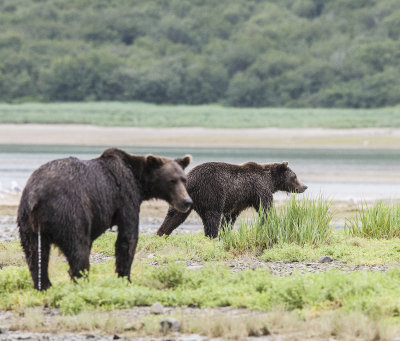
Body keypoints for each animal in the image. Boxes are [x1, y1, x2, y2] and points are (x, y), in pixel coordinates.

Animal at [18, 147, 192, 288]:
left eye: (184, 179)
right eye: (172, 180)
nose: (187, 201)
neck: (139, 182)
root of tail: (36, 196)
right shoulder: (126, 196)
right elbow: (127, 238)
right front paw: (126, 278)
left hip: (27, 223)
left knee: (35, 253)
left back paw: (45, 285)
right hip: (69, 212)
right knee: (77, 248)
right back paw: (82, 282)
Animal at [156, 160, 306, 236]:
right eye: (294, 176)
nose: (305, 186)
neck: (270, 181)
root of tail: (191, 179)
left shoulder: (237, 202)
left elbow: (229, 218)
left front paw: (226, 231)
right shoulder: (259, 189)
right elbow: (266, 209)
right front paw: (273, 222)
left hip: (182, 197)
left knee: (174, 216)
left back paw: (161, 233)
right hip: (211, 192)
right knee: (212, 216)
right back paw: (212, 235)